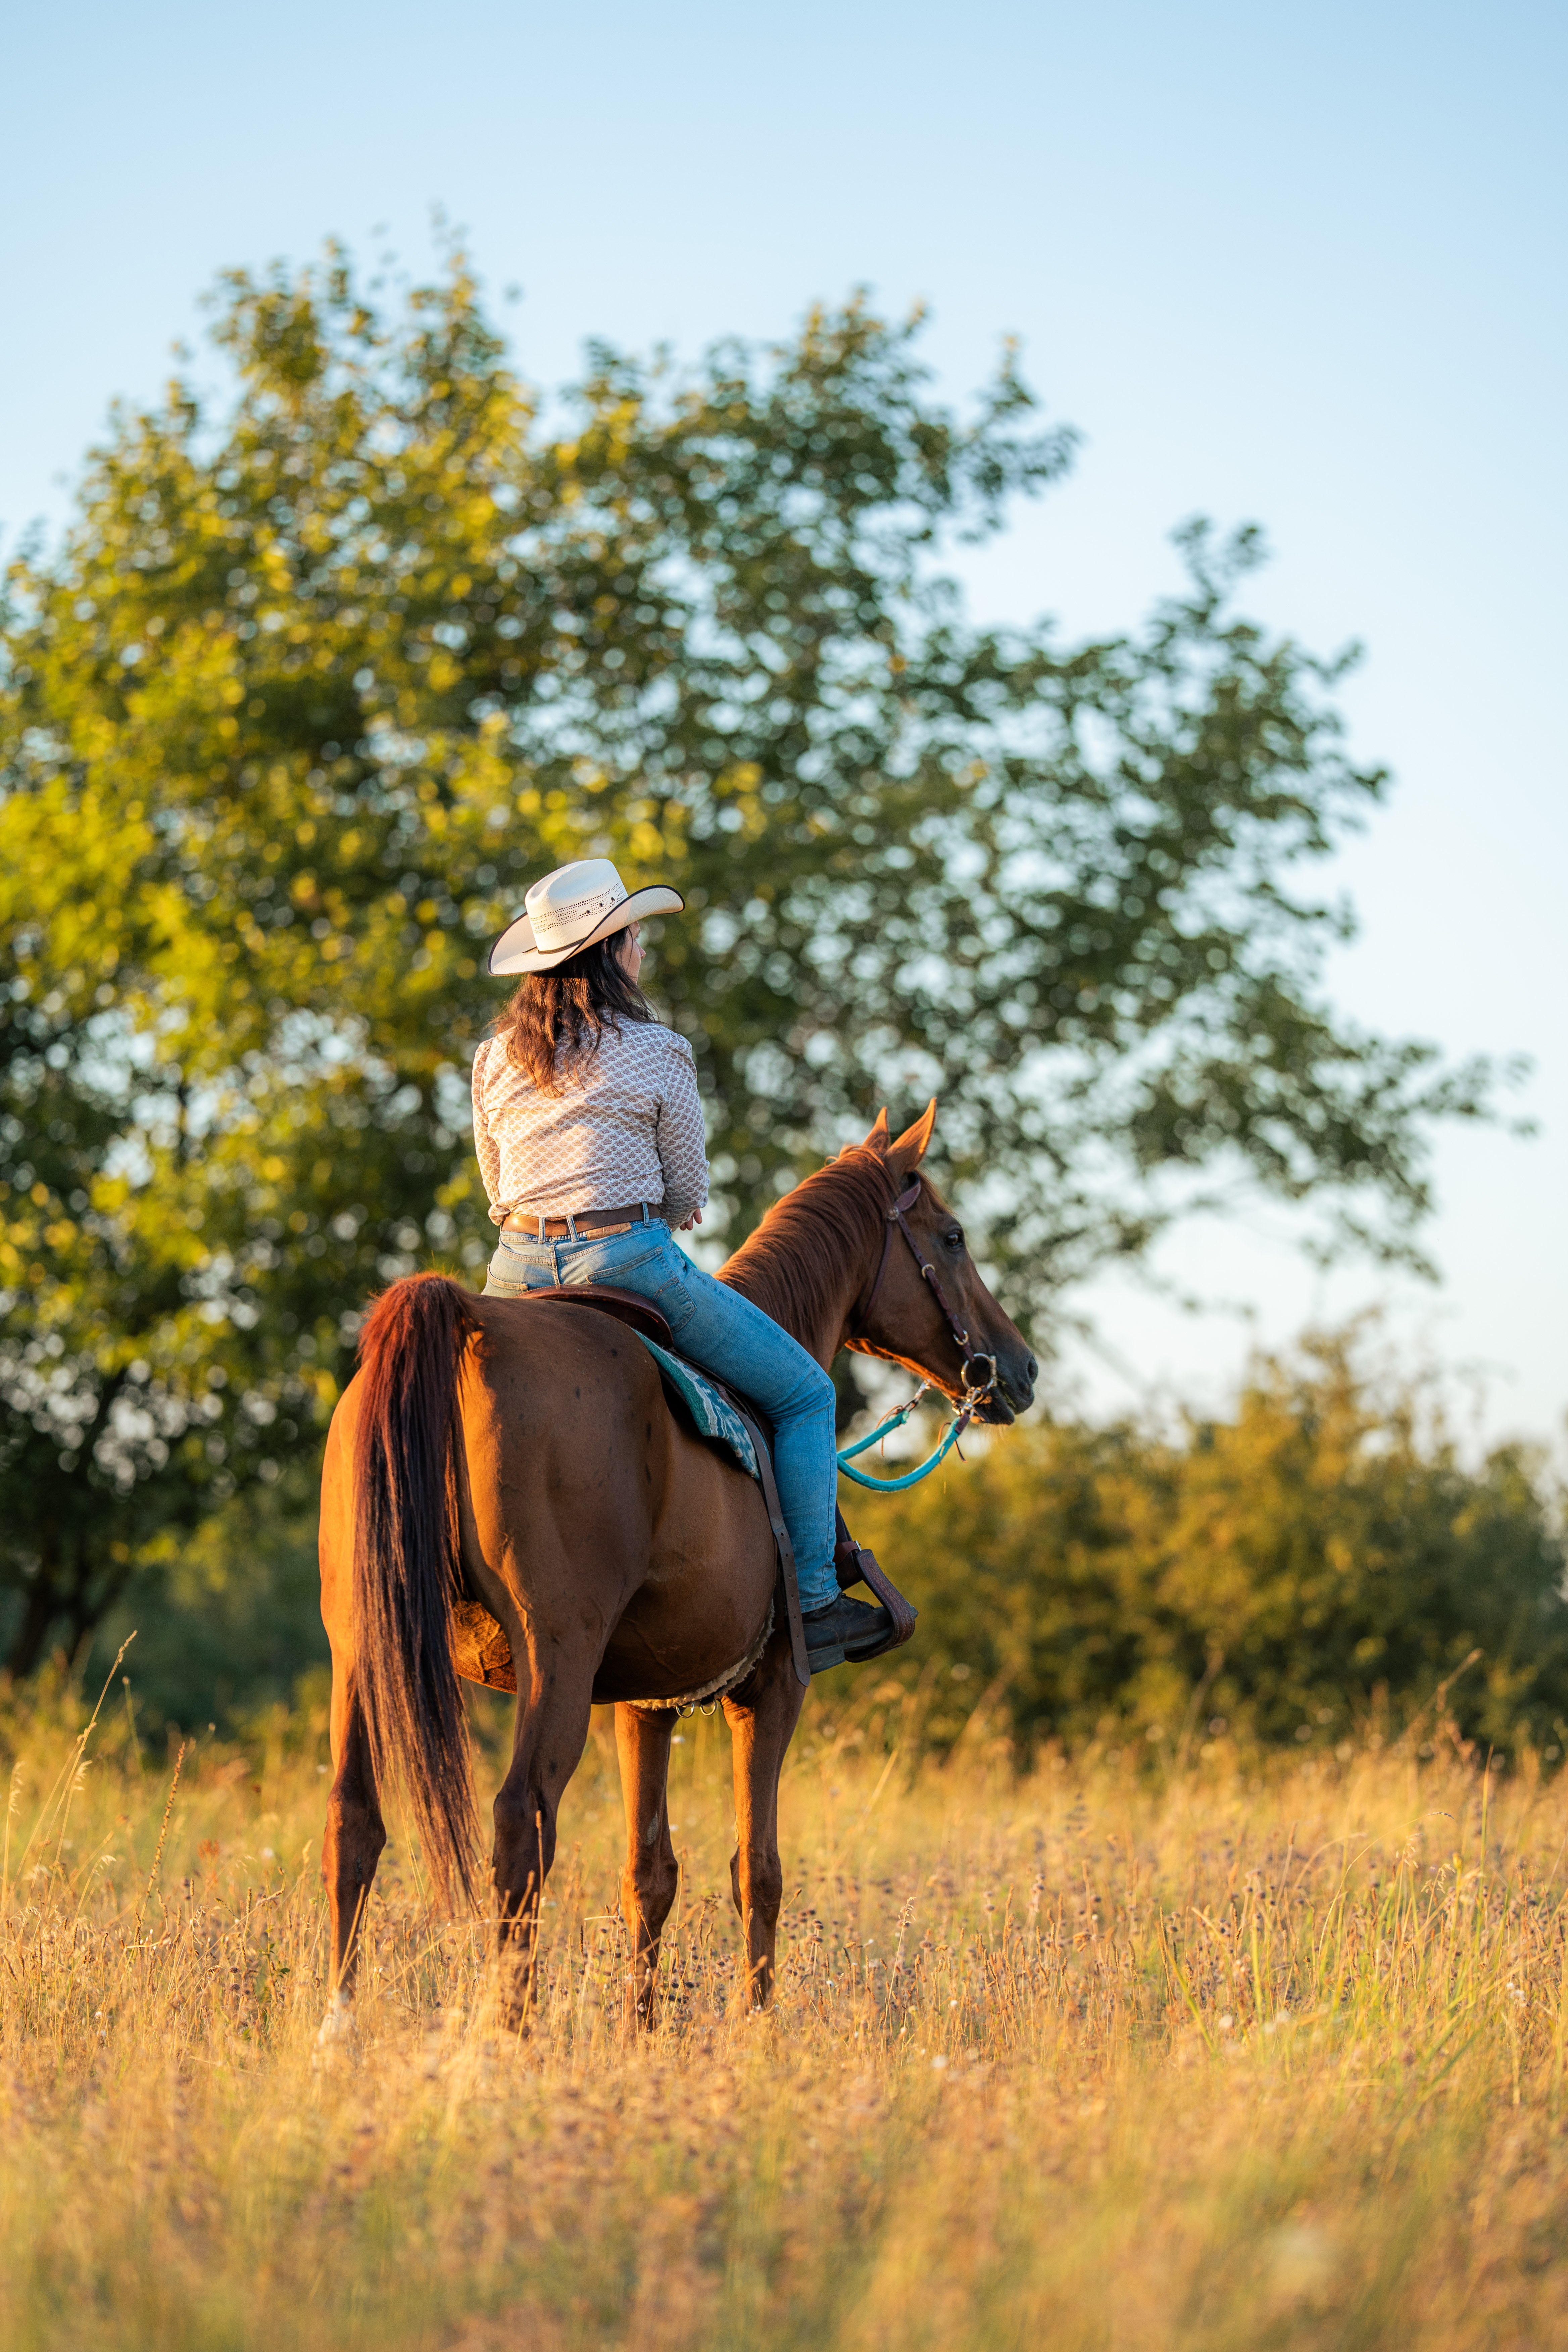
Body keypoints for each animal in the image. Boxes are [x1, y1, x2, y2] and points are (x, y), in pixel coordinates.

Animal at [315, 1101, 1036, 2035]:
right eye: (951, 1237)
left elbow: (648, 1876)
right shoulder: (770, 1689)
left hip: (360, 1647)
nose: (1018, 1369)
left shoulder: (643, 1707)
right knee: (519, 1826)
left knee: (353, 1823)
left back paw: (339, 2028)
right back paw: (508, 2032)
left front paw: (642, 2031)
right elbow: (757, 1870)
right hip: (556, 1655)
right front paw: (753, 2028)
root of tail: (467, 1327)